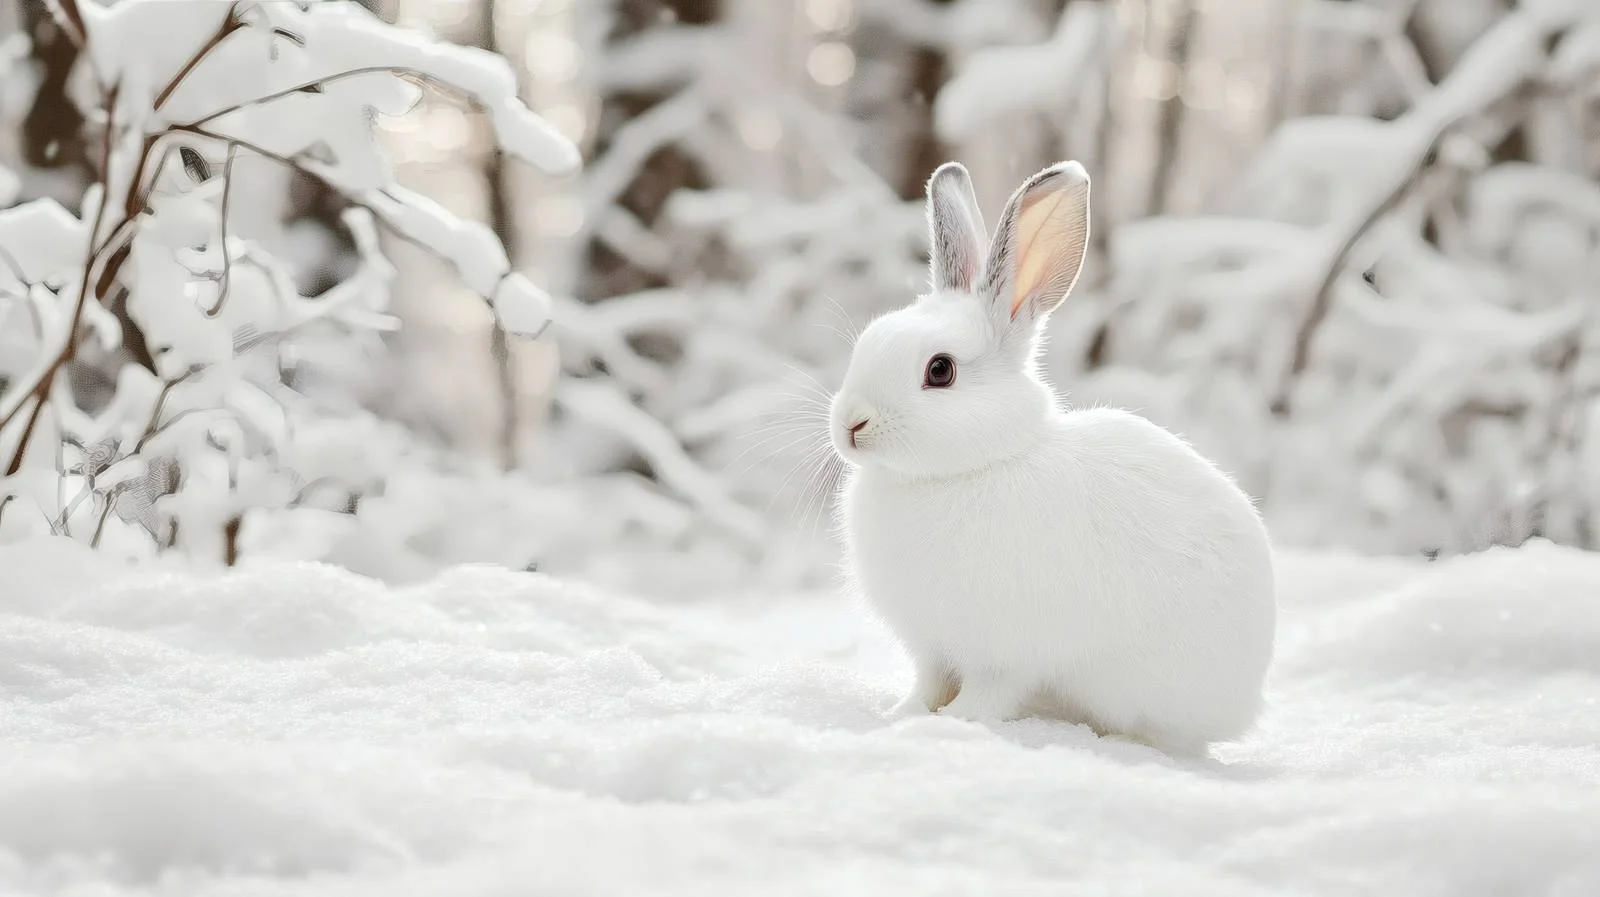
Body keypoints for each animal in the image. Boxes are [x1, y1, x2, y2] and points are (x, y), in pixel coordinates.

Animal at [828, 160, 1277, 755]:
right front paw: (899, 715)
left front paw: (955, 724)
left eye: (940, 370)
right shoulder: (933, 649)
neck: (974, 465)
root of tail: (1246, 705)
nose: (850, 425)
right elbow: (927, 685)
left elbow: (987, 694)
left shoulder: (1003, 654)